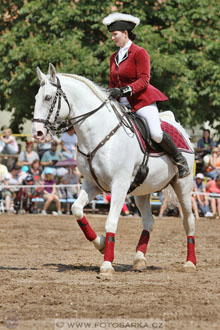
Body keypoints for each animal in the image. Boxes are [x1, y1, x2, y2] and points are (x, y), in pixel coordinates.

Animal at [32, 63, 196, 274]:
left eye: (47, 97)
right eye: (36, 98)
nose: (37, 133)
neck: (98, 133)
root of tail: (178, 126)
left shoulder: (119, 185)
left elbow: (111, 221)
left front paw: (107, 265)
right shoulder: (92, 184)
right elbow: (77, 209)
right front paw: (101, 244)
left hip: (183, 185)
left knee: (188, 220)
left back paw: (190, 263)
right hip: (142, 191)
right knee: (148, 222)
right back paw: (139, 259)